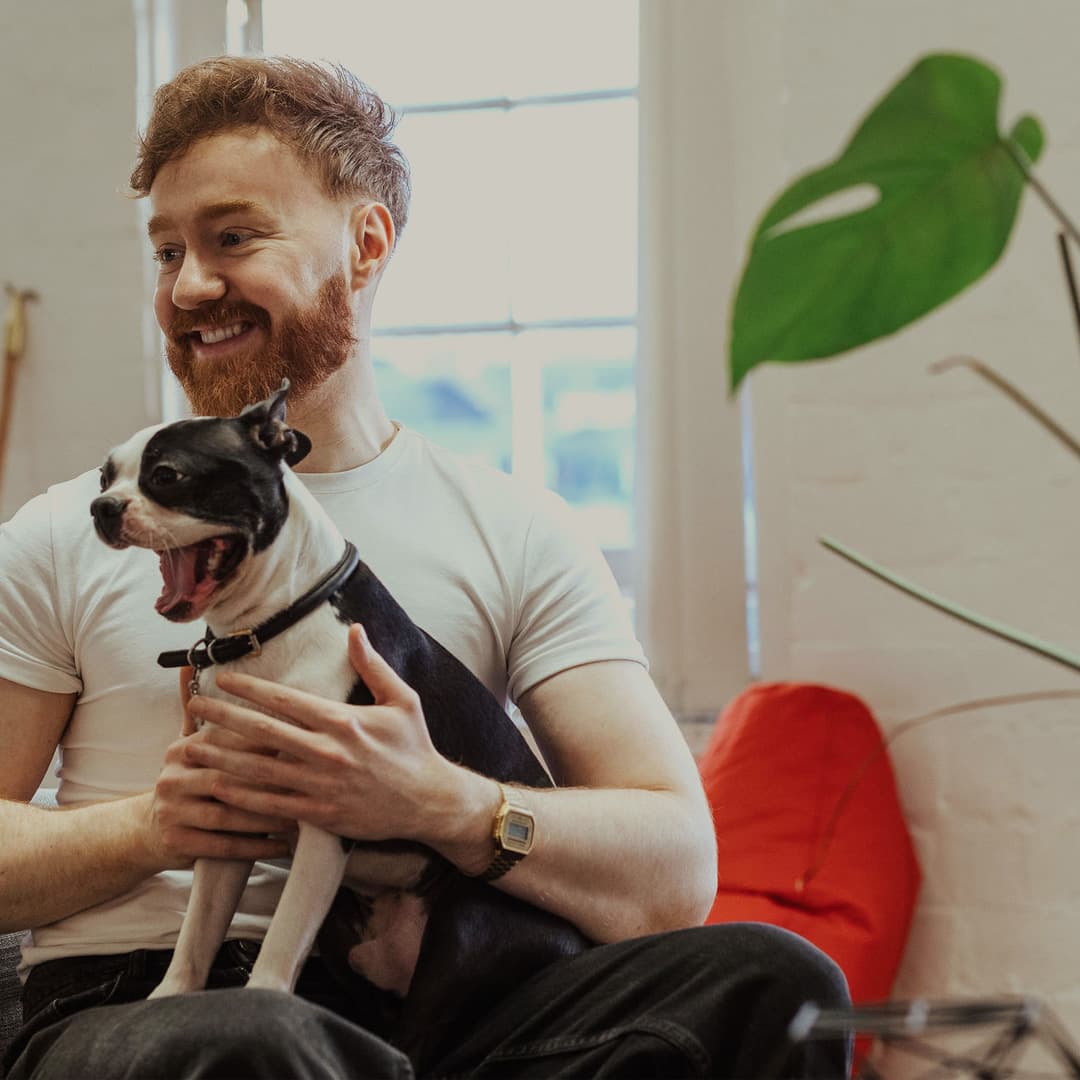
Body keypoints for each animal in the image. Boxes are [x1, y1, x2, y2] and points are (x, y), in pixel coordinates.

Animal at [90, 380, 591, 1062]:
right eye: (103, 475)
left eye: (167, 476)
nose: (101, 508)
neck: (271, 629)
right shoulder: (228, 814)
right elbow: (198, 930)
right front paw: (169, 999)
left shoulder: (329, 822)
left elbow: (279, 943)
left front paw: (262, 1001)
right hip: (346, 935)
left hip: (468, 927)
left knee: (419, 1039)